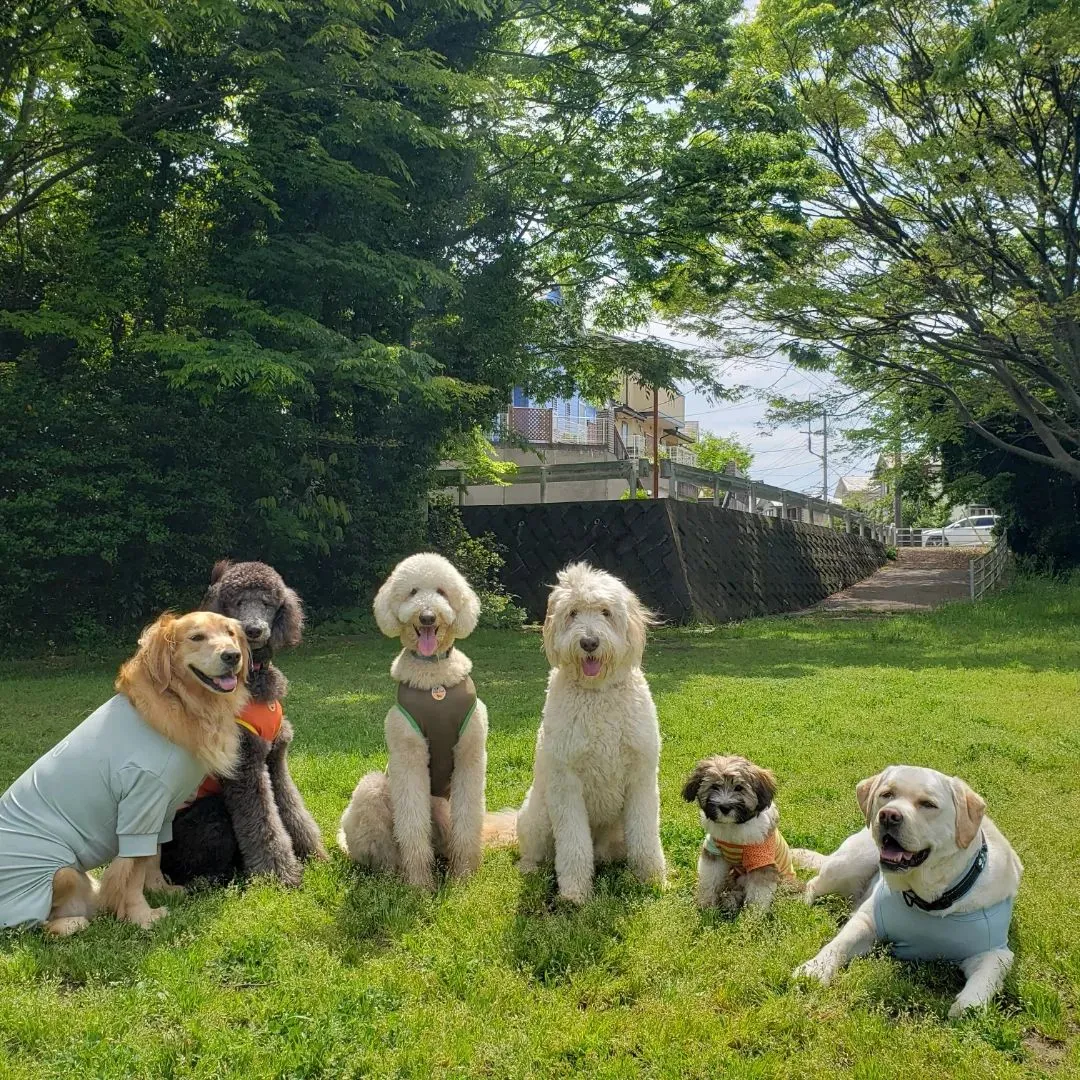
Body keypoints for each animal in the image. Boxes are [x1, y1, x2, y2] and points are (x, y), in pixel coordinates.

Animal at [157, 557, 321, 885]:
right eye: (238, 602)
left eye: (268, 602)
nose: (254, 629)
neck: (253, 680)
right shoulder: (246, 765)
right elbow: (263, 822)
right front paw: (280, 875)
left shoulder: (275, 756)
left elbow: (290, 806)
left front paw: (311, 853)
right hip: (207, 815)